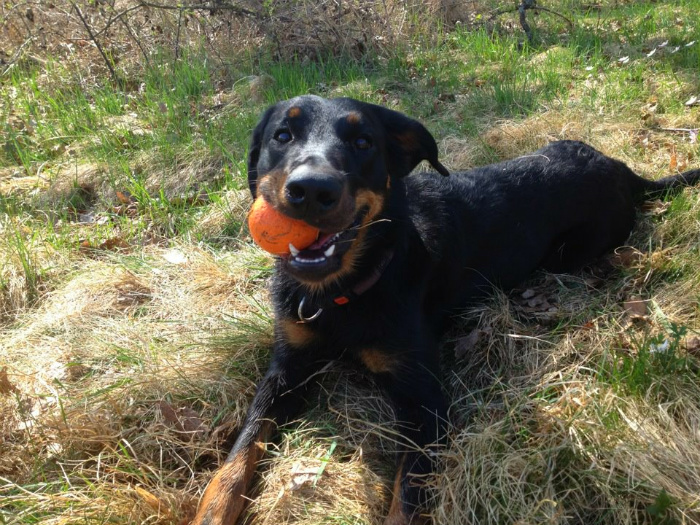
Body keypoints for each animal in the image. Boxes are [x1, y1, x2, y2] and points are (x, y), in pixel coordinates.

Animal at [191, 95, 700, 525]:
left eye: (363, 142)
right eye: (282, 135)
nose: (312, 190)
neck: (343, 292)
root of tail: (623, 170)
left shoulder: (426, 401)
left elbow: (407, 497)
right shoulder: (286, 367)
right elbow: (238, 453)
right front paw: (211, 512)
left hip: (572, 253)